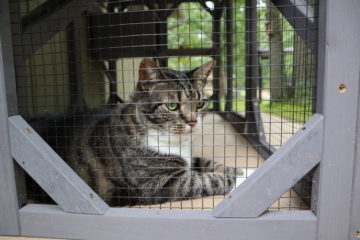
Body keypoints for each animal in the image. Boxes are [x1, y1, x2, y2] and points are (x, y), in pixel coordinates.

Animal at [30, 58, 242, 206]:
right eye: (172, 106)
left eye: (199, 104)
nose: (192, 121)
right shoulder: (164, 183)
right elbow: (206, 181)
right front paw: (237, 180)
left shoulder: (189, 160)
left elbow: (207, 162)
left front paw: (240, 170)